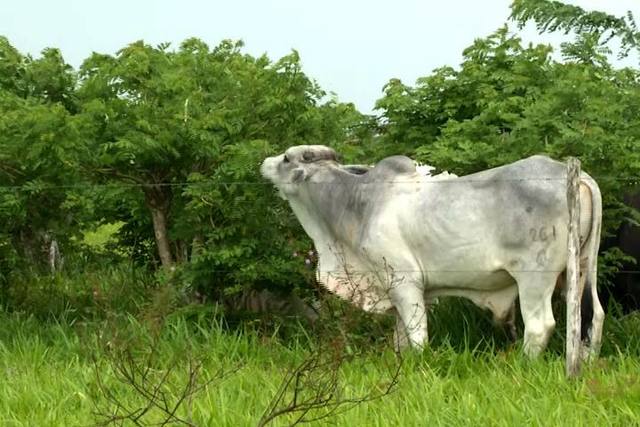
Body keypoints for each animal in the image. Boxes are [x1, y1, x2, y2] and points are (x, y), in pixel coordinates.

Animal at [258, 145, 600, 360]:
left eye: (286, 158)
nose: (264, 162)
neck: (359, 204)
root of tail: (574, 173)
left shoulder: (404, 282)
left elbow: (417, 335)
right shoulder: (398, 289)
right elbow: (400, 339)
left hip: (535, 278)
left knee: (540, 325)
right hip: (583, 267)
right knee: (593, 317)